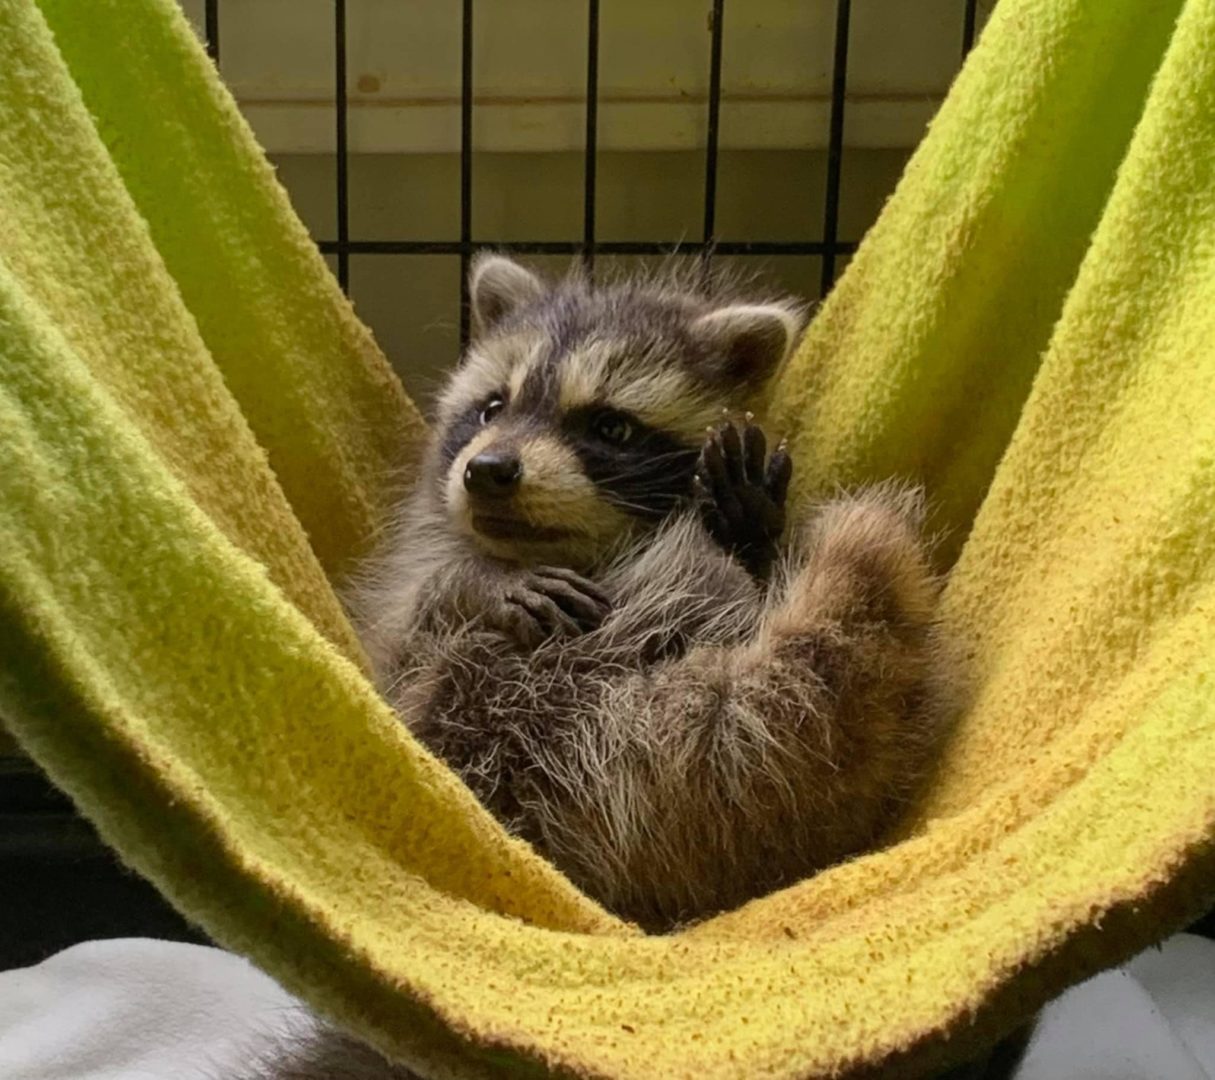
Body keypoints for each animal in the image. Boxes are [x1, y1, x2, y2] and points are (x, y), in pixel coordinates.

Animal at [243, 254, 950, 1079]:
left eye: (610, 426)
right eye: (491, 406)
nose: (488, 470)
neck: (567, 550)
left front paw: (746, 526)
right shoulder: (401, 617)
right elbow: (419, 618)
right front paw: (478, 586)